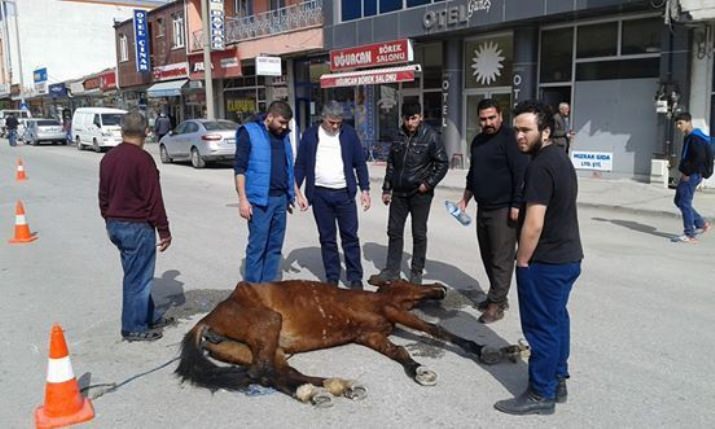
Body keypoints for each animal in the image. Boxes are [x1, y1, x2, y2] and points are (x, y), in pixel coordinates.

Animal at [176, 278, 524, 404]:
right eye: (409, 281)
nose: (439, 290)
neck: (373, 298)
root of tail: (206, 321)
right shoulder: (392, 310)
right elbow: (436, 331)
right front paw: (488, 350)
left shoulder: (370, 334)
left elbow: (399, 352)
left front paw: (419, 370)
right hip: (268, 325)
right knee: (263, 372)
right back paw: (320, 390)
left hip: (260, 347)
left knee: (278, 373)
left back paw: (331, 388)